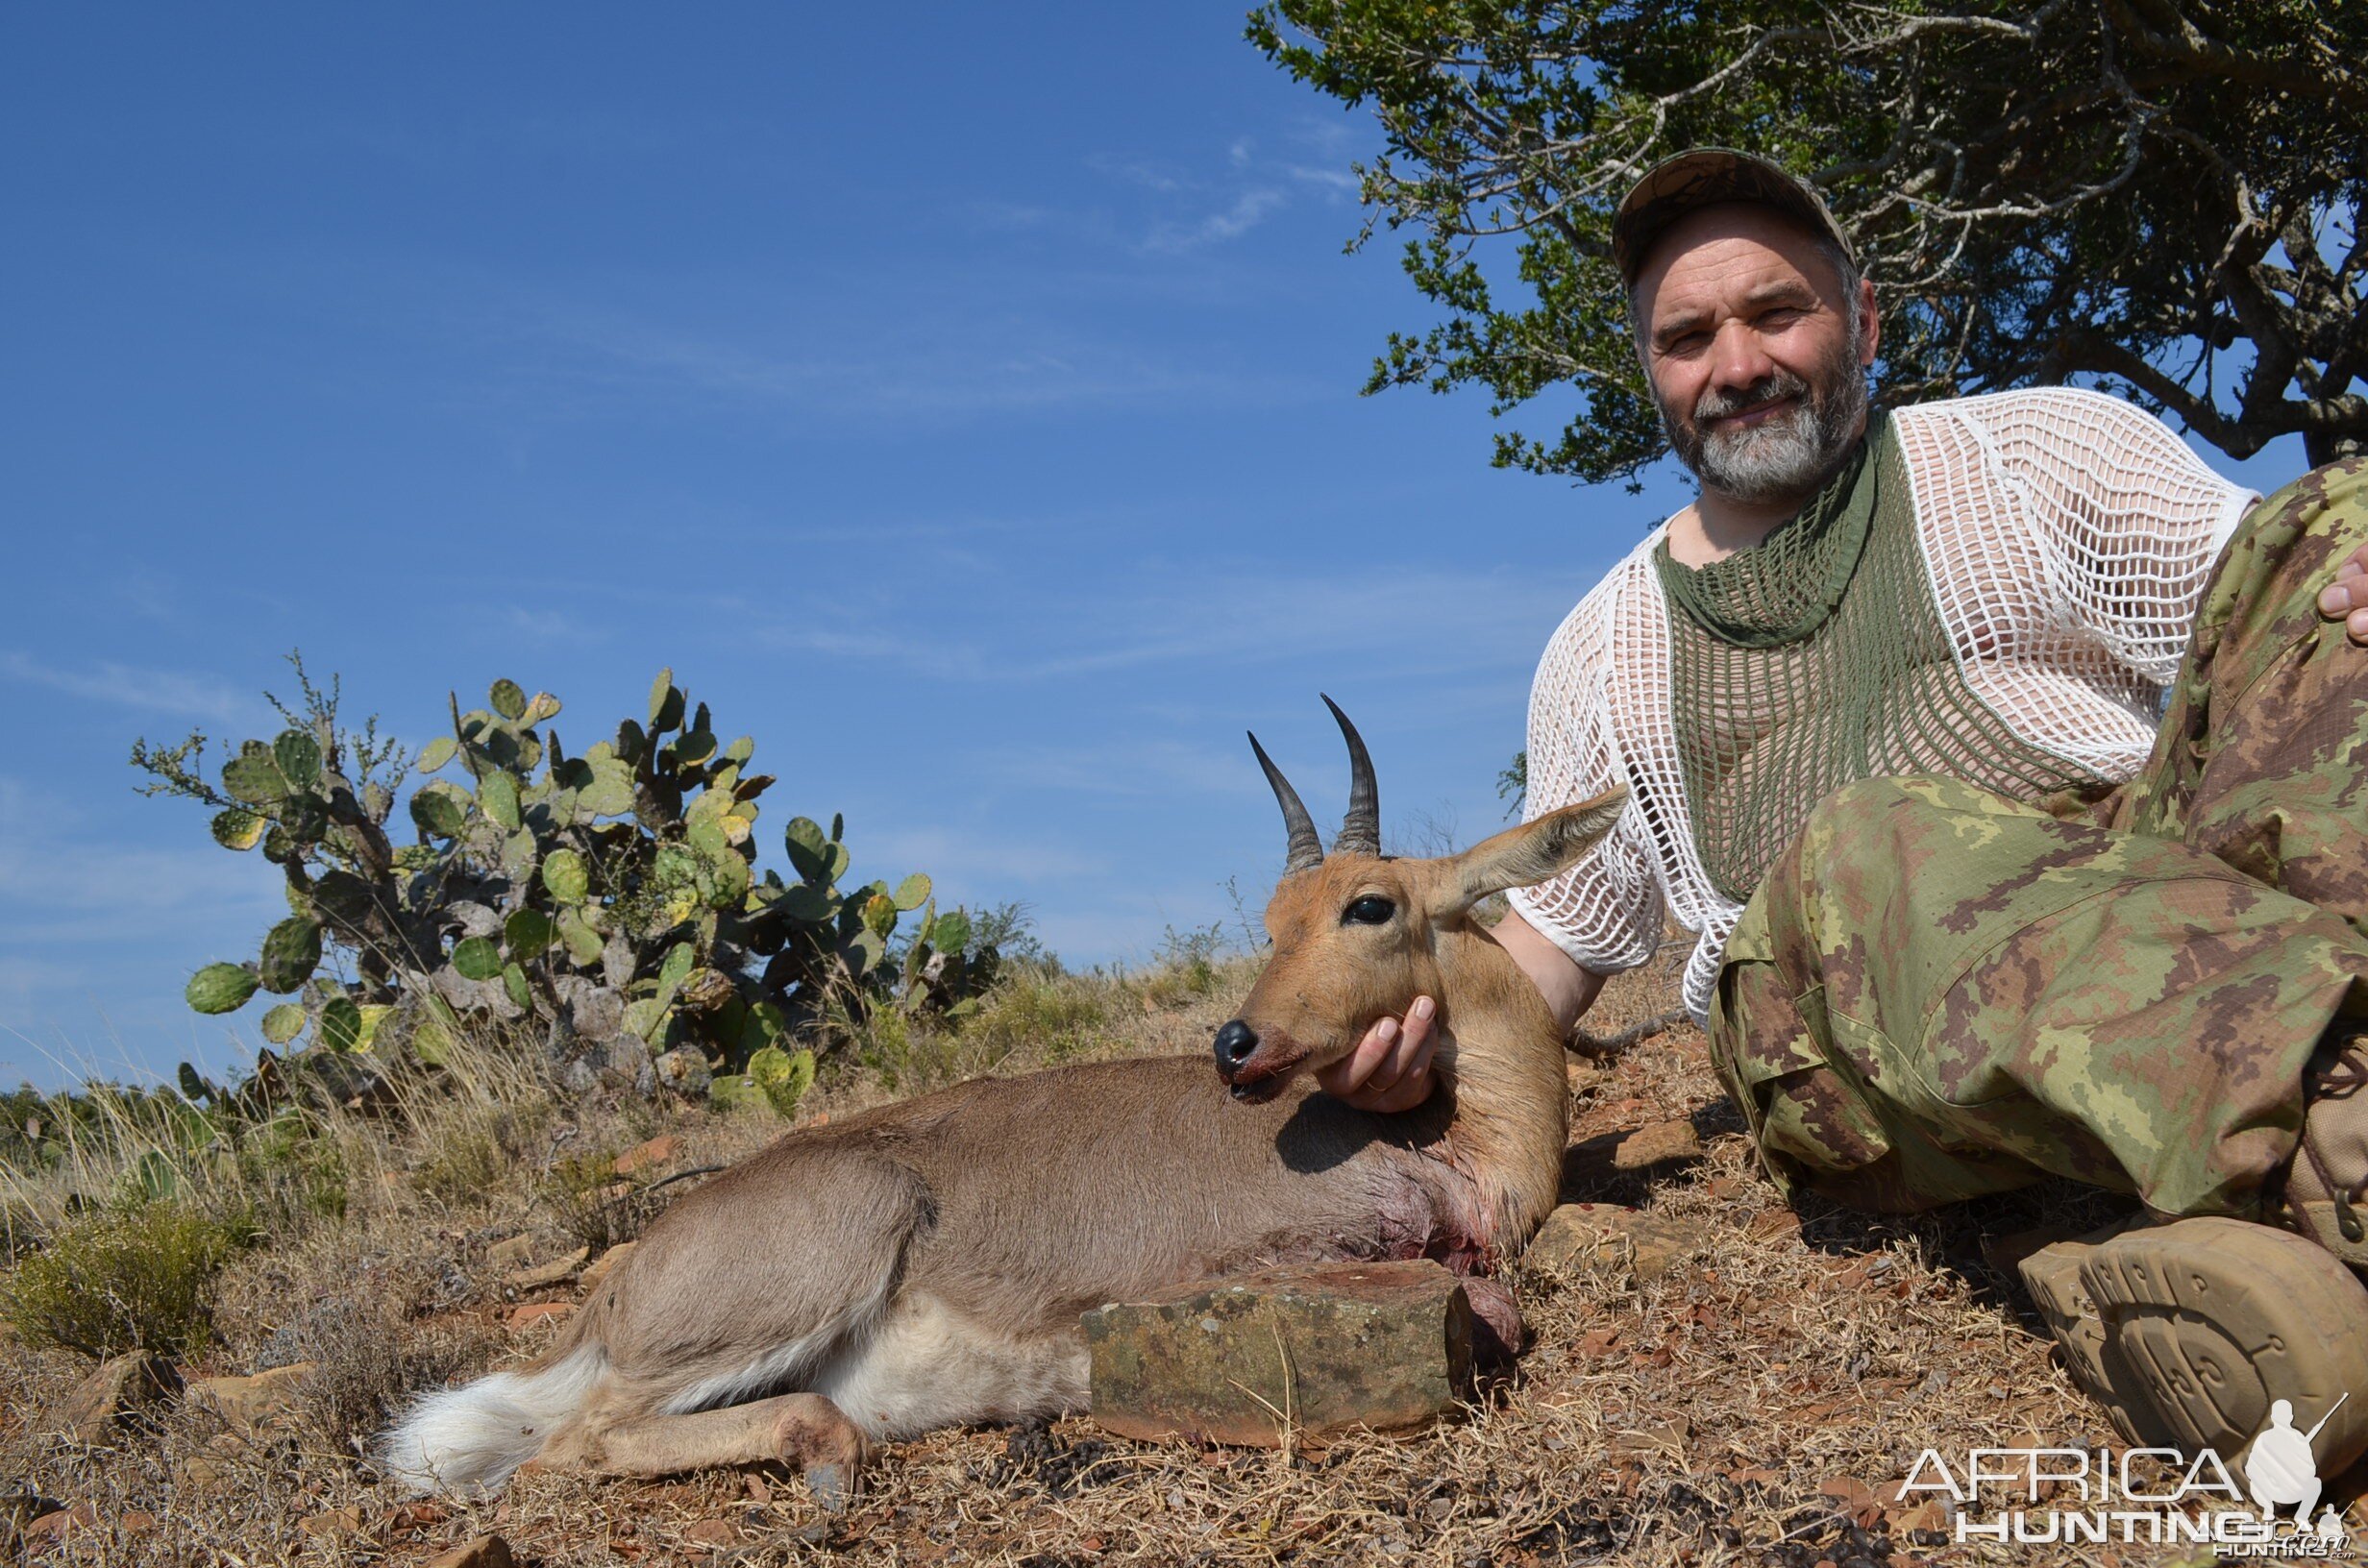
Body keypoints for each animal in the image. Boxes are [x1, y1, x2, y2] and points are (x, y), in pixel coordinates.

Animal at [383, 705, 1629, 1506]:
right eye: (1275, 919)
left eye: (1368, 905)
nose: (1236, 1043)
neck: (1458, 1147)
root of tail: (617, 1289)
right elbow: (1495, 1309)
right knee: (564, 1448)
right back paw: (823, 1456)